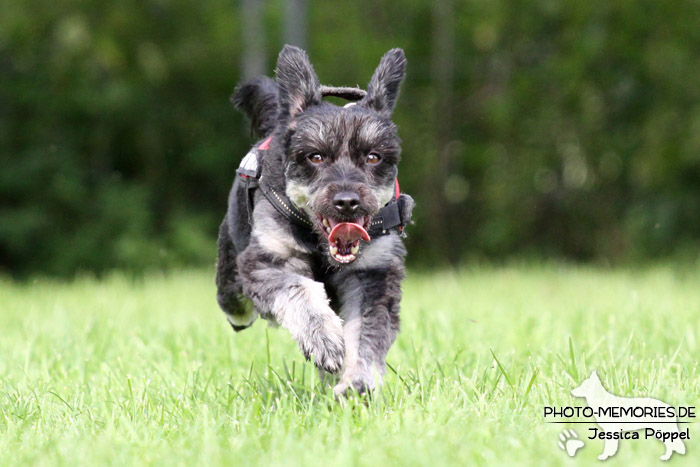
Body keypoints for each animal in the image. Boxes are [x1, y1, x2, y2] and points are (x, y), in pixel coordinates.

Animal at [216, 44, 412, 396]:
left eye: (373, 157)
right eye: (316, 156)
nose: (347, 202)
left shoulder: (373, 275)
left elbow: (366, 332)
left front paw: (357, 384)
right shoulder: (266, 261)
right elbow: (299, 289)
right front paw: (324, 341)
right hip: (230, 282)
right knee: (236, 305)